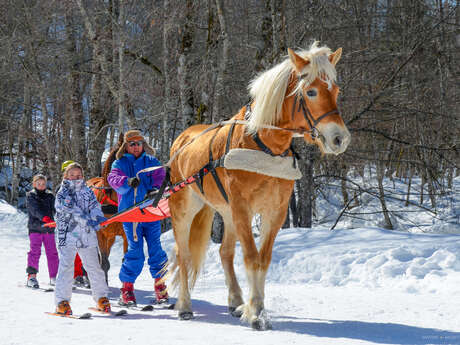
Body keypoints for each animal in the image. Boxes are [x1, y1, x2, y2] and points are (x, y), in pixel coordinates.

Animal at [167, 41, 350, 328]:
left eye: (336, 90)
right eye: (311, 91)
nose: (339, 139)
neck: (263, 145)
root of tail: (182, 139)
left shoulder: (275, 211)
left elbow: (263, 259)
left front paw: (257, 308)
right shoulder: (243, 208)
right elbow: (252, 258)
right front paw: (254, 312)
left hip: (226, 212)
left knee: (225, 253)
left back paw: (235, 300)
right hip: (184, 208)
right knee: (183, 255)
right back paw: (185, 305)